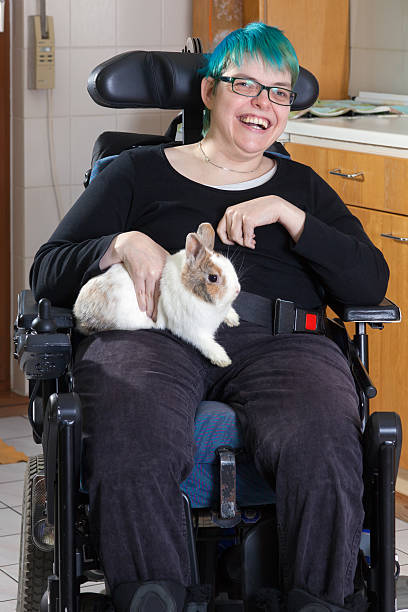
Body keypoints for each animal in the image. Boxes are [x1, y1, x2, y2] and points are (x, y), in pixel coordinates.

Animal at [73, 222, 241, 366]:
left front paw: (234, 319)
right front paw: (222, 359)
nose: (237, 289)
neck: (190, 290)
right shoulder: (191, 330)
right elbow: (206, 343)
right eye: (213, 278)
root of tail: (78, 312)